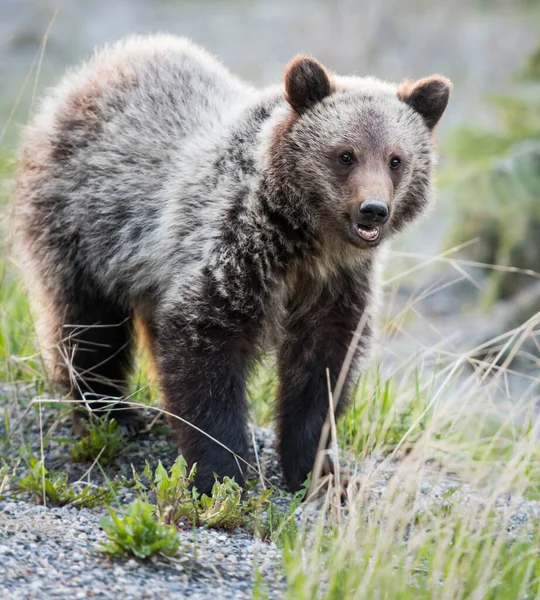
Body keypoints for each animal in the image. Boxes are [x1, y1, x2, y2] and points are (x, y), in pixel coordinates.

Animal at [12, 34, 452, 492]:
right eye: (345, 155)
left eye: (396, 159)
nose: (373, 210)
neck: (308, 242)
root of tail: (96, 68)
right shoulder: (234, 249)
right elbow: (206, 350)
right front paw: (223, 471)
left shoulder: (336, 284)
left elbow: (322, 371)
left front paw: (320, 471)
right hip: (81, 225)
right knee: (88, 326)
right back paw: (111, 415)